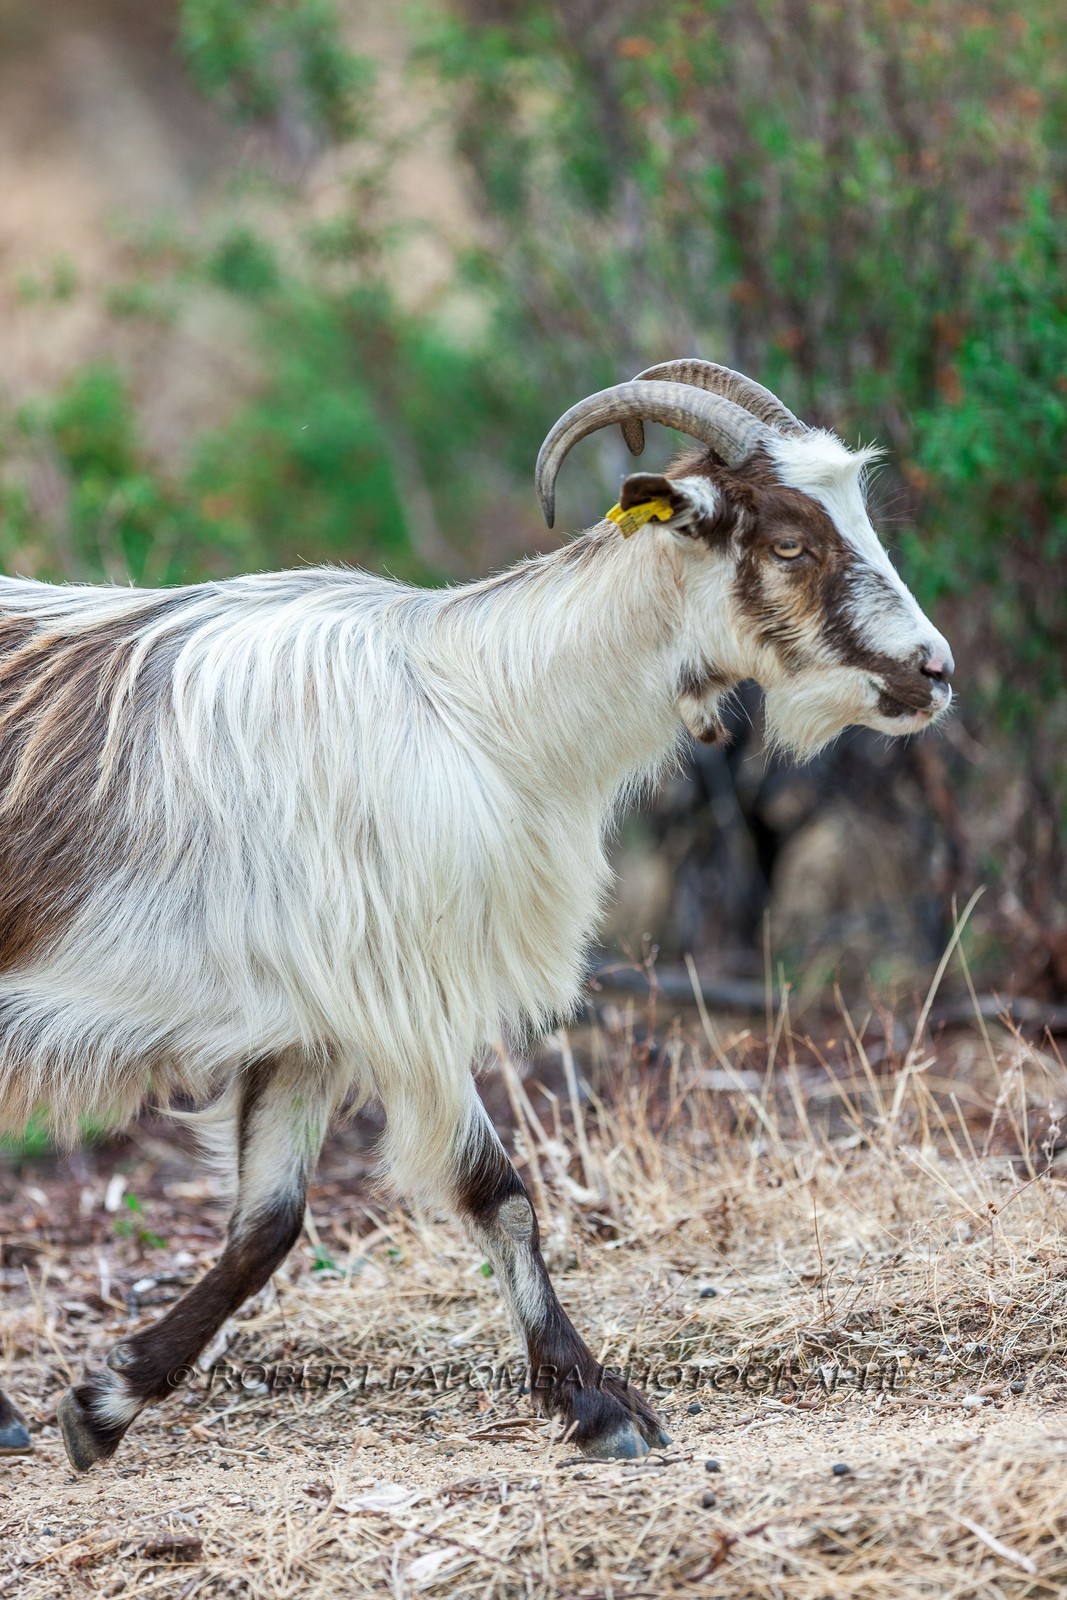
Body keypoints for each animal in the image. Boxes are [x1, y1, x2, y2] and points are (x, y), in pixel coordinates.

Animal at [0, 360, 952, 1468]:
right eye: (790, 542)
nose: (932, 671)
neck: (483, 711)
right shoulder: (399, 1005)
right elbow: (500, 1195)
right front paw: (597, 1404)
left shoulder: (304, 1027)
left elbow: (266, 1226)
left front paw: (102, 1402)